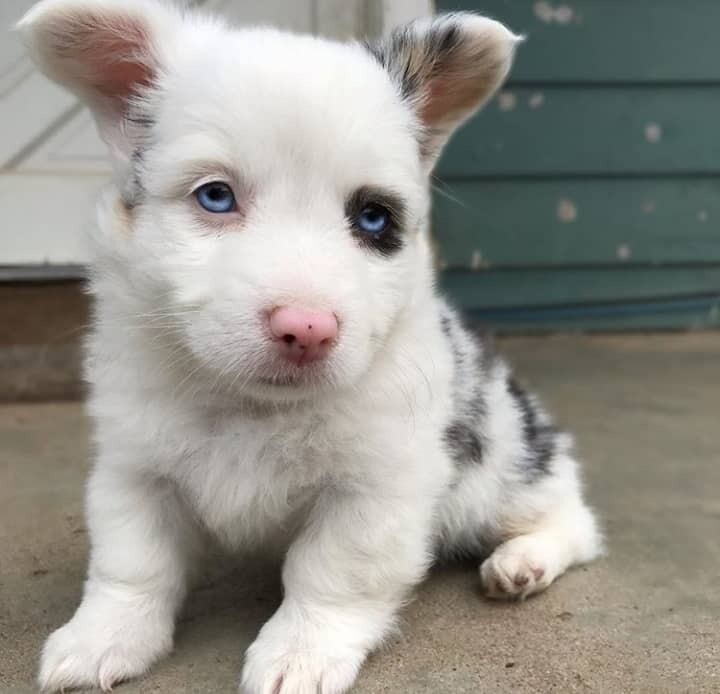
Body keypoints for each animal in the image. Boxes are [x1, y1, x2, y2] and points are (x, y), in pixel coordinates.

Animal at [18, 2, 600, 692]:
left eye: (374, 219)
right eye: (215, 195)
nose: (307, 328)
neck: (253, 408)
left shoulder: (375, 486)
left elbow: (331, 573)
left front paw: (301, 652)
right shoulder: (135, 470)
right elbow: (133, 564)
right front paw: (104, 637)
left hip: (505, 474)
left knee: (575, 521)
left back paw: (524, 560)